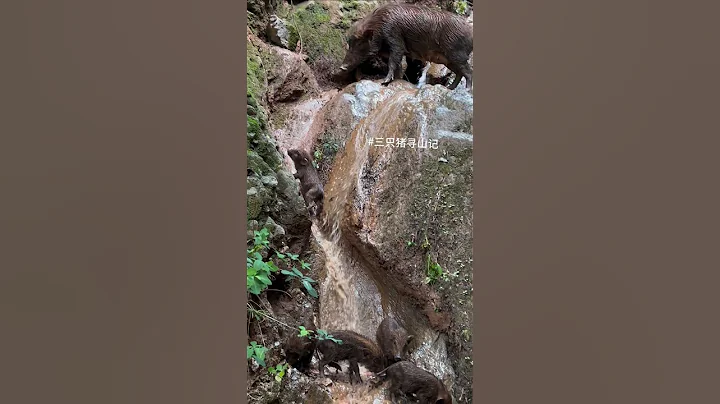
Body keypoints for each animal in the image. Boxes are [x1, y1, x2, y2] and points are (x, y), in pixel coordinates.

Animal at [338, 3, 473, 90]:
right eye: (350, 43)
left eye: (360, 43)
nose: (342, 67)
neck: (380, 26)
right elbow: (397, 66)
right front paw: (396, 79)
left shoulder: (395, 39)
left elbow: (393, 61)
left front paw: (384, 82)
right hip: (449, 61)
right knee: (460, 73)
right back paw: (450, 88)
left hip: (457, 56)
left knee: (469, 72)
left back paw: (466, 90)